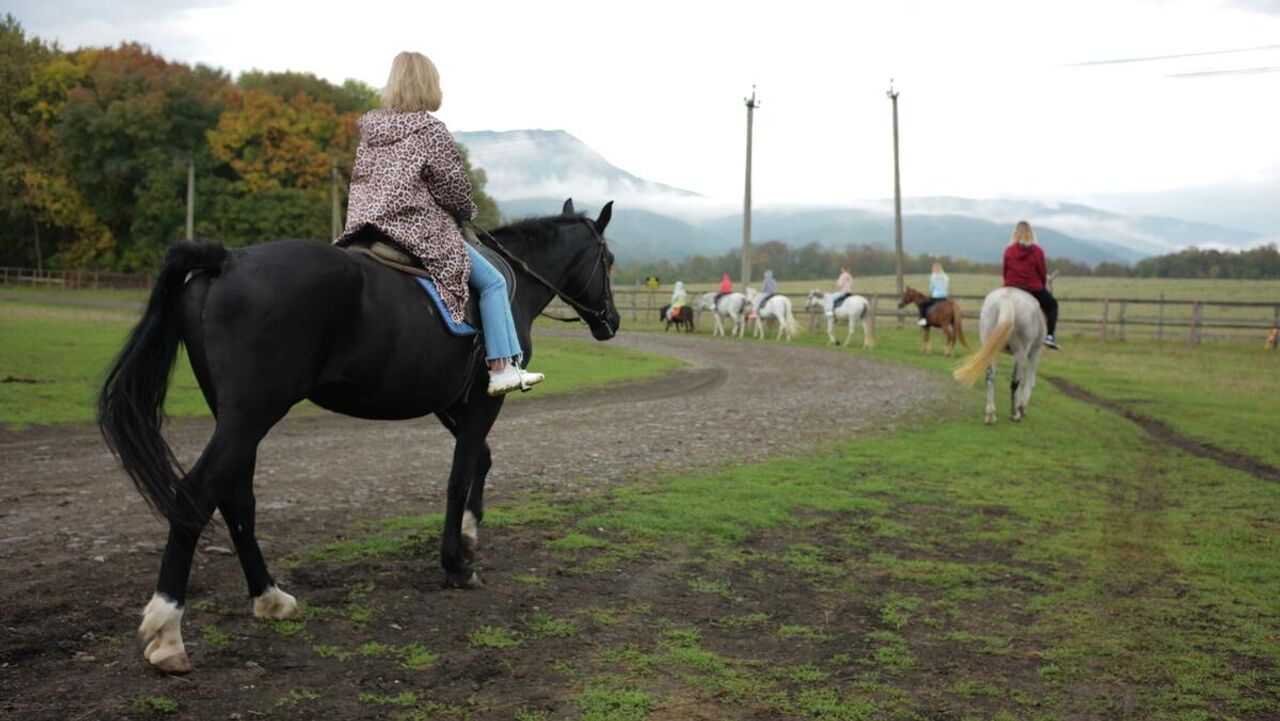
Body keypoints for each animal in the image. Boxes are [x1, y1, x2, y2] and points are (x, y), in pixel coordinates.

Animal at [957, 288, 1044, 422]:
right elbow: (1030, 381)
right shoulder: (1034, 351)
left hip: (990, 348)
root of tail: (1006, 297)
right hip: (1020, 352)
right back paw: (1014, 414)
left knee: (990, 378)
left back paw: (990, 415)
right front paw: (1022, 407)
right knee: (1015, 381)